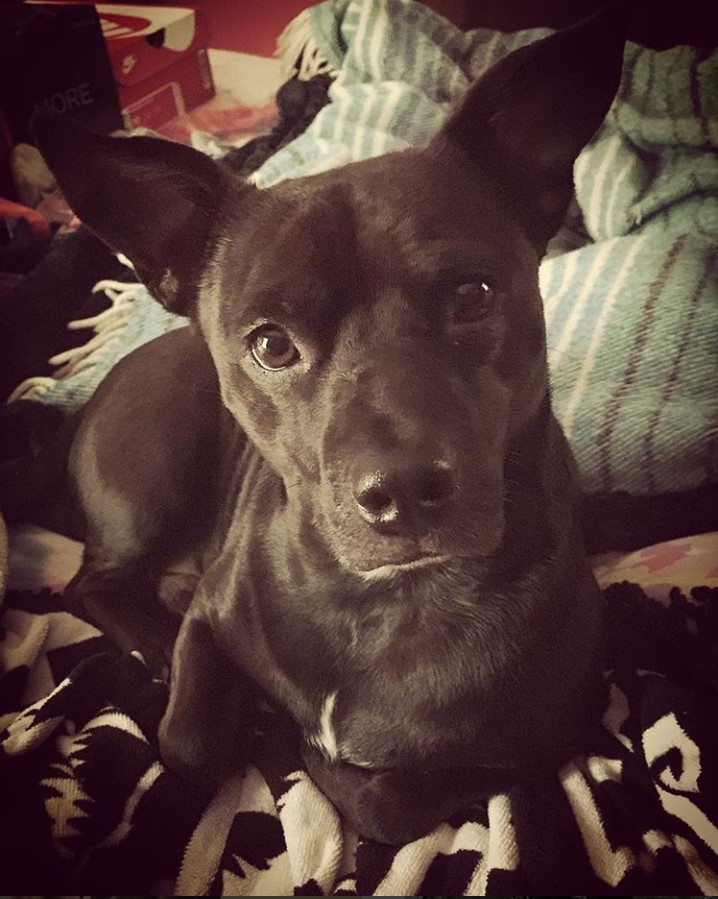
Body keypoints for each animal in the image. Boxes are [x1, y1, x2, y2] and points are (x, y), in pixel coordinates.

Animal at [15, 12, 624, 844]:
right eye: (271, 344)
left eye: (473, 294)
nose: (404, 489)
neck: (386, 601)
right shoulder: (213, 616)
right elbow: (187, 742)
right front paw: (249, 715)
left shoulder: (553, 741)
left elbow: (388, 799)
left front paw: (296, 740)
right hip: (151, 478)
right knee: (89, 581)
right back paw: (150, 639)